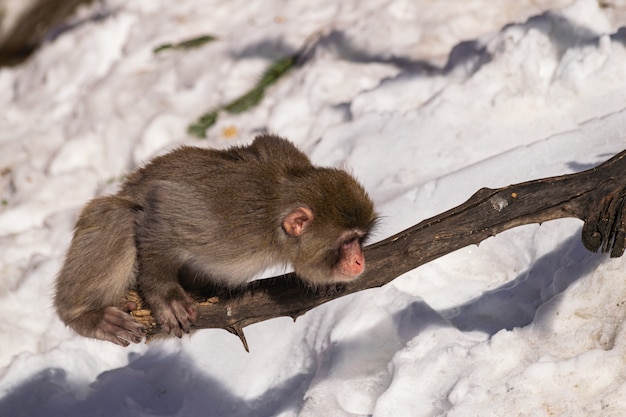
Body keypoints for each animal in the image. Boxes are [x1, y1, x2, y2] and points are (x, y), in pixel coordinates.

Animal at [54, 133, 376, 344]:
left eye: (360, 239)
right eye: (346, 242)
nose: (359, 261)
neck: (272, 226)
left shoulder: (285, 155)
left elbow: (263, 142)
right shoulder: (232, 230)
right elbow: (163, 206)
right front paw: (166, 296)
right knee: (117, 215)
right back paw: (83, 315)